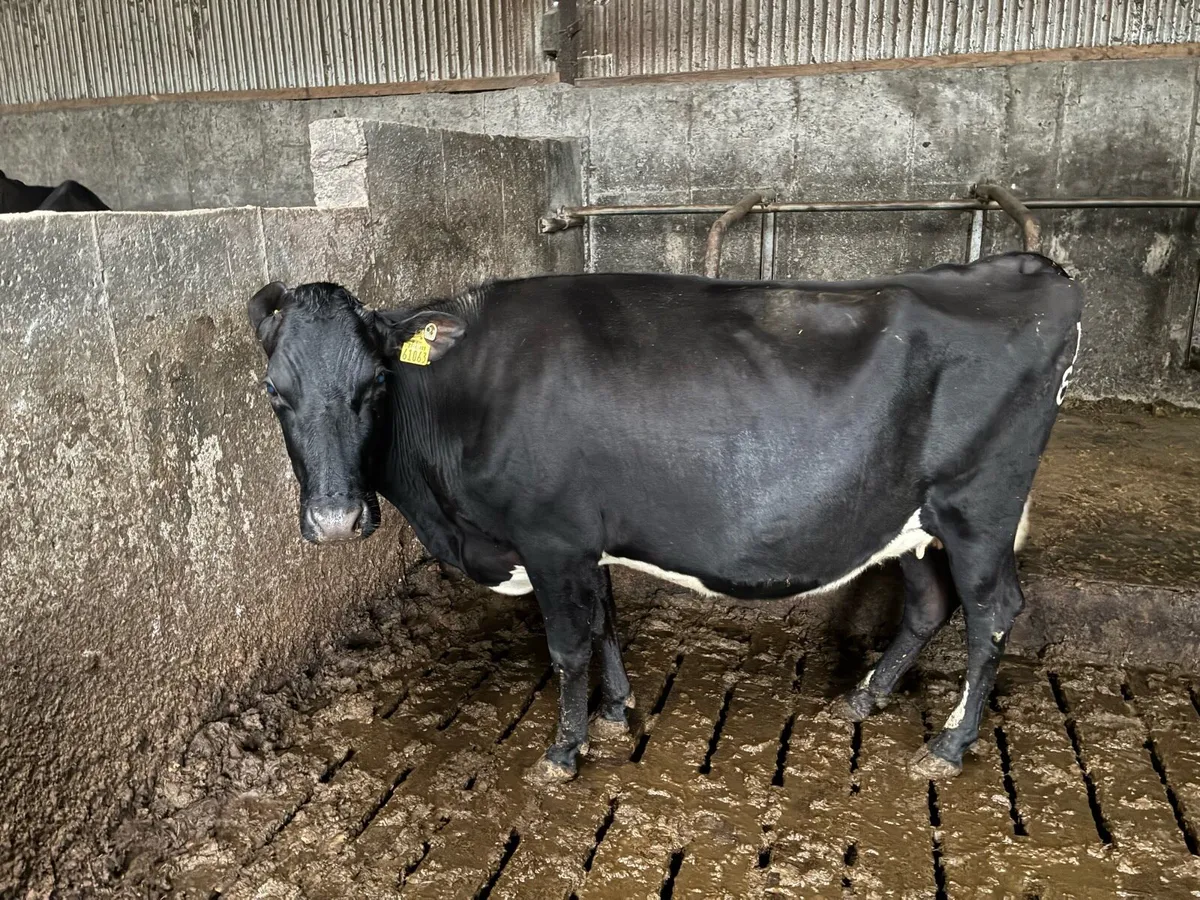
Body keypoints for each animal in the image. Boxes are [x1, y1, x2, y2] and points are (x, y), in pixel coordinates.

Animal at [247, 252, 1083, 784]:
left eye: (375, 383)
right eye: (274, 391)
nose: (334, 519)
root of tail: (1030, 269)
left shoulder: (550, 538)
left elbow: (567, 645)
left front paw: (563, 752)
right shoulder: (588, 538)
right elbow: (606, 622)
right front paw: (616, 711)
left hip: (978, 508)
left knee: (991, 612)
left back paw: (949, 744)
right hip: (911, 519)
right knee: (931, 604)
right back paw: (865, 697)